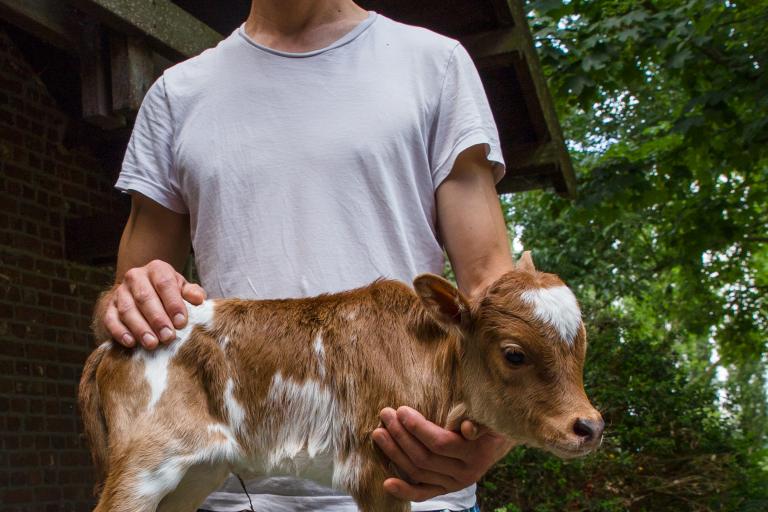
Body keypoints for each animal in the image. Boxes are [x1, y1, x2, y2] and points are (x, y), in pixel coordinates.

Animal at [79, 254, 608, 510]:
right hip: (143, 463)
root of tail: (112, 345)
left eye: (582, 346)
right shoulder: (375, 469)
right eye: (514, 354)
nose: (589, 427)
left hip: (195, 473)